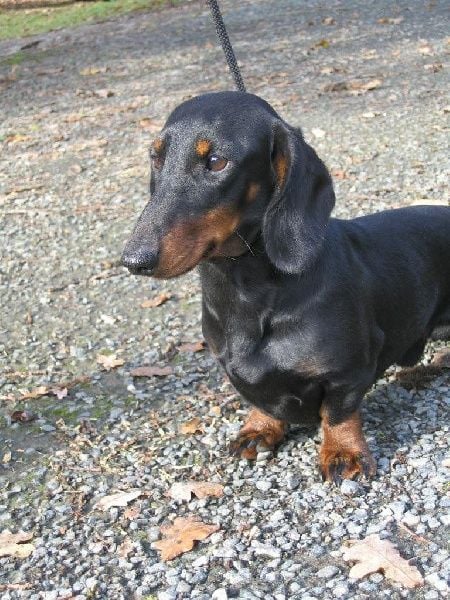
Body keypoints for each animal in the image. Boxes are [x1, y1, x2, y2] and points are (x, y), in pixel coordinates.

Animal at [121, 91, 450, 483]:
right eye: (155, 157)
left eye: (216, 161)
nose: (134, 259)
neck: (245, 290)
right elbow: (260, 400)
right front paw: (261, 427)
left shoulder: (349, 371)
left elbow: (339, 413)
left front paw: (344, 452)